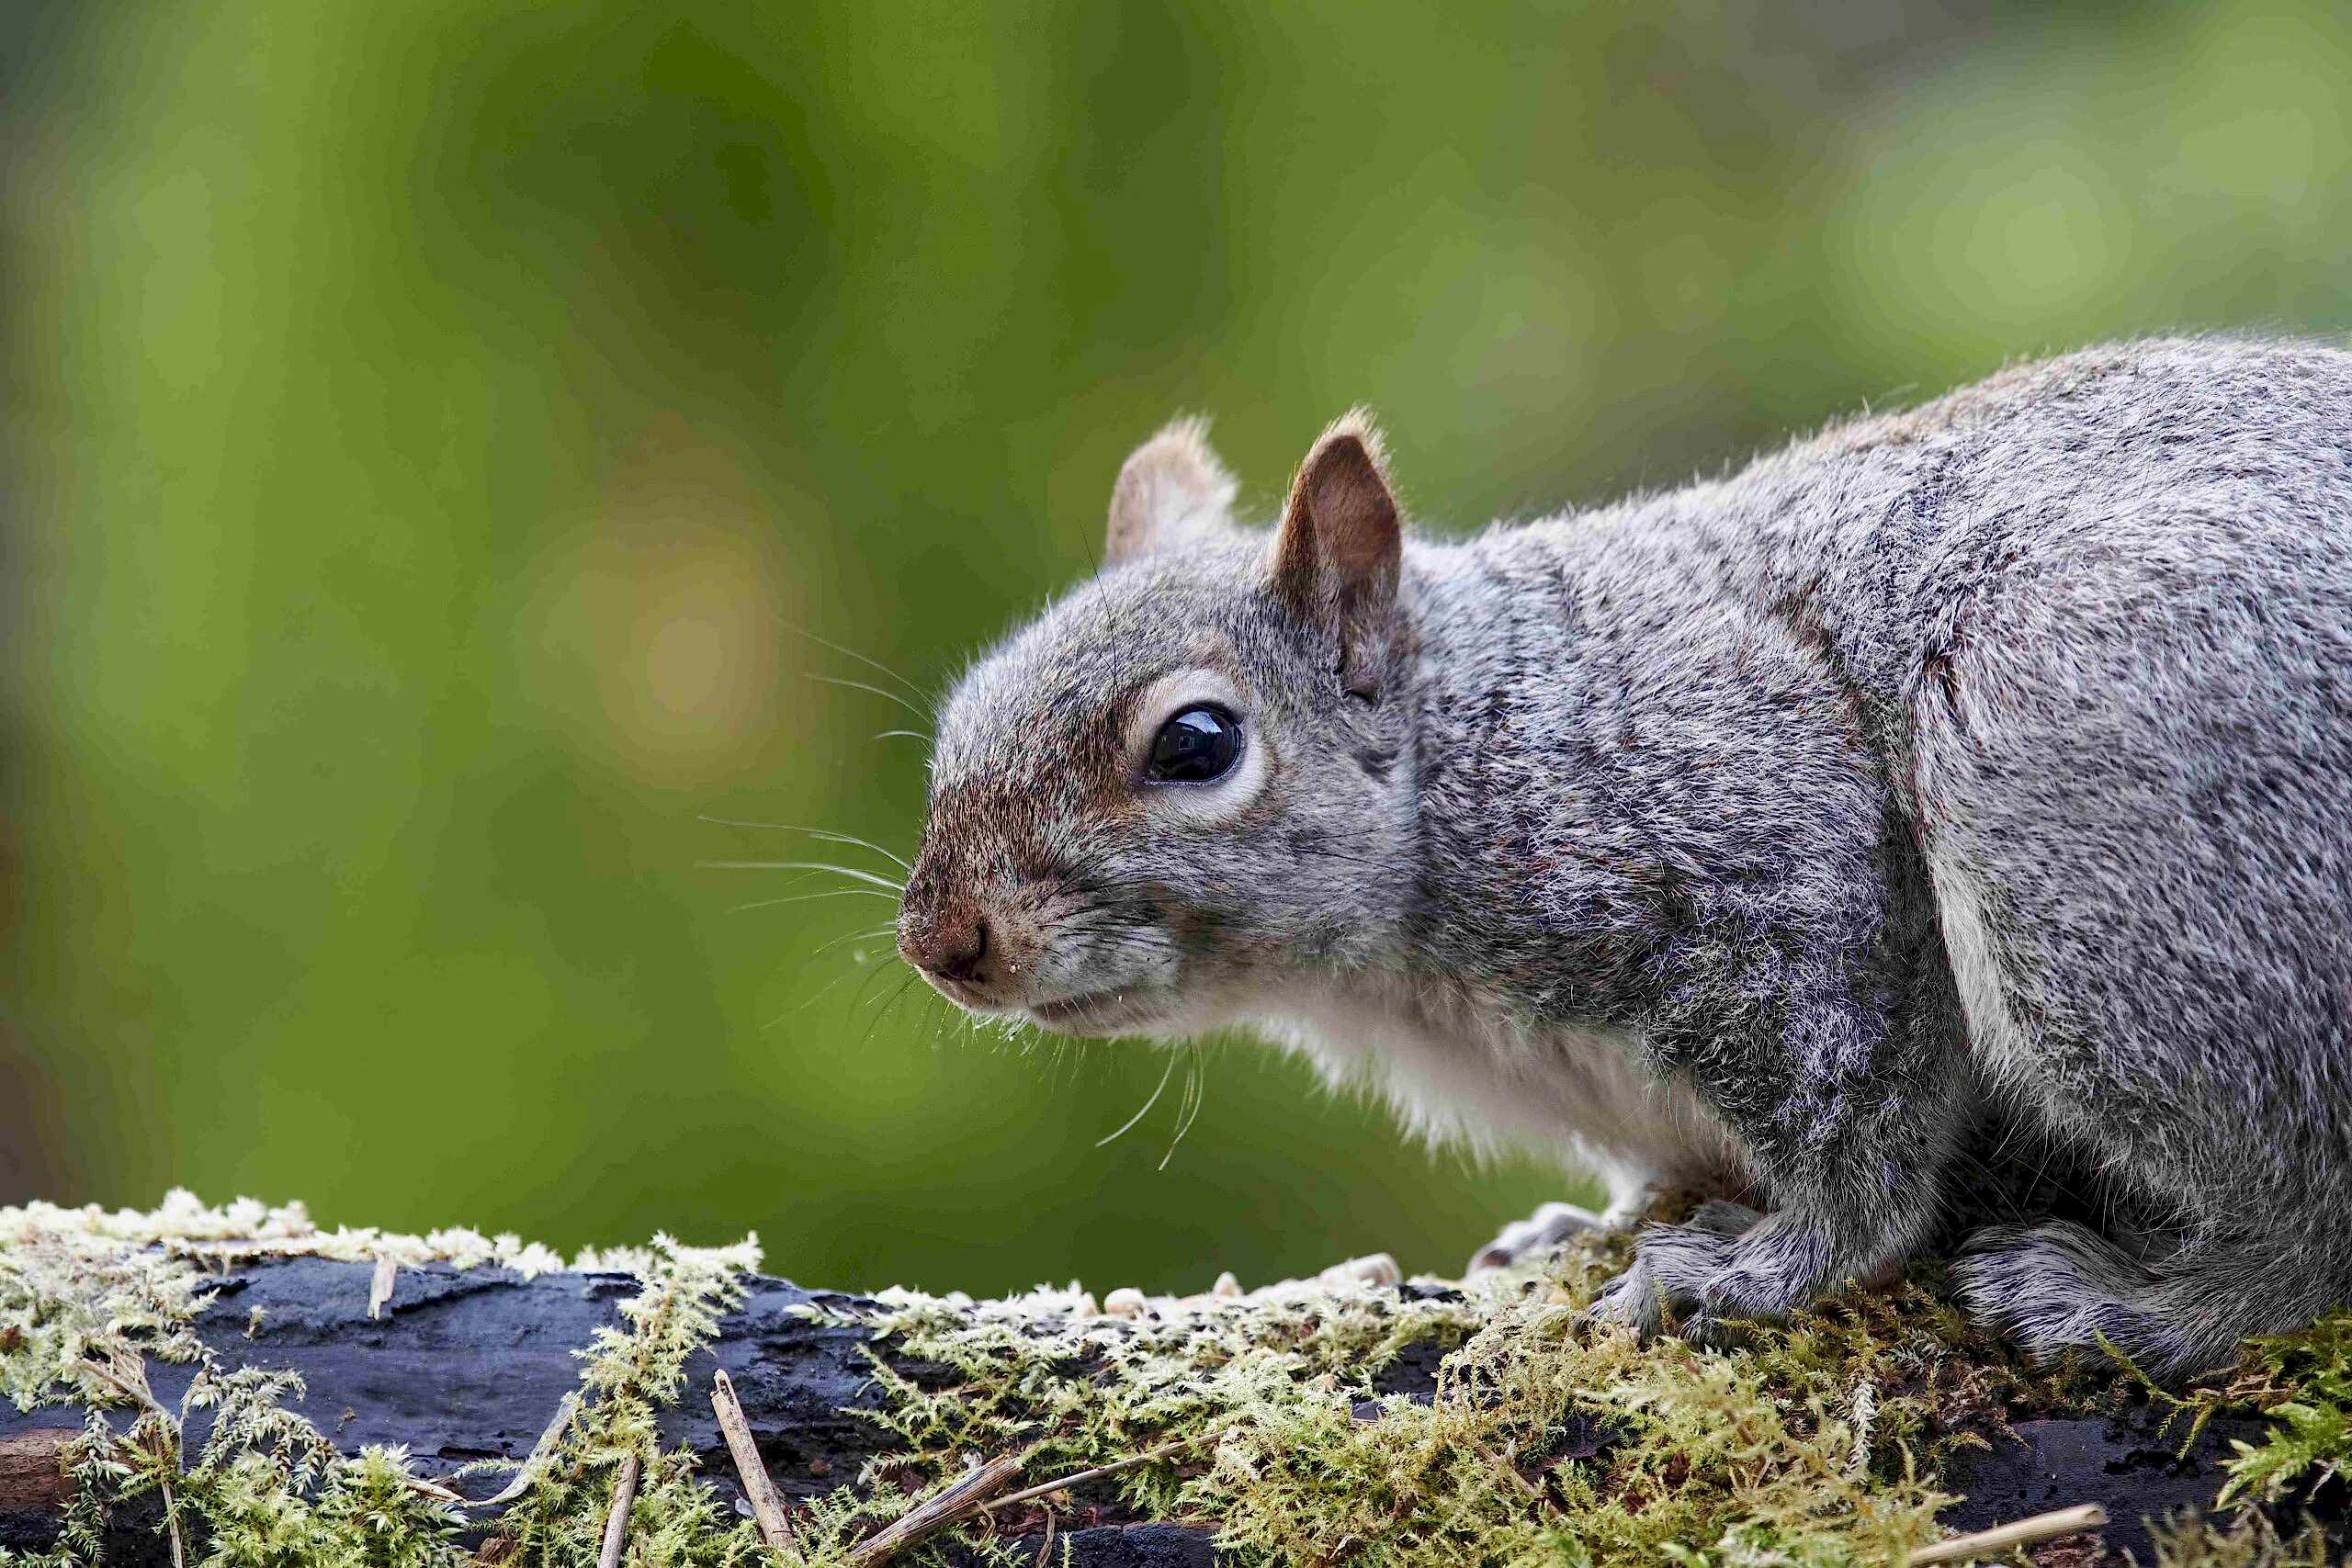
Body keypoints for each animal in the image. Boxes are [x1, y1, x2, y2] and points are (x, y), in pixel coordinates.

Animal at [895, 337, 2352, 1377]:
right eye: (962, 713)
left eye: (1196, 744)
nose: (942, 941)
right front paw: (1580, 1226)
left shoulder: (1768, 845)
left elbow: (1863, 1141)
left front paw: (1761, 1266)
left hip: (2086, 827)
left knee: (2305, 1204)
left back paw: (2140, 1305)